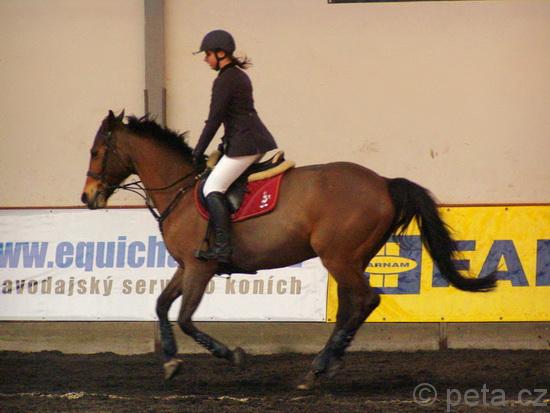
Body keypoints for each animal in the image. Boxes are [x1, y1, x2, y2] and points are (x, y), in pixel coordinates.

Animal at [81, 111, 496, 390]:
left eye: (97, 152)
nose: (87, 198)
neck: (181, 191)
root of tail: (382, 182)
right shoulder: (186, 266)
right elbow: (161, 305)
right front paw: (169, 362)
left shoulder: (200, 268)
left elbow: (185, 317)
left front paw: (231, 355)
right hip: (351, 258)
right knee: (351, 306)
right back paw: (323, 365)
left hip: (338, 256)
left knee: (365, 300)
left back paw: (320, 367)